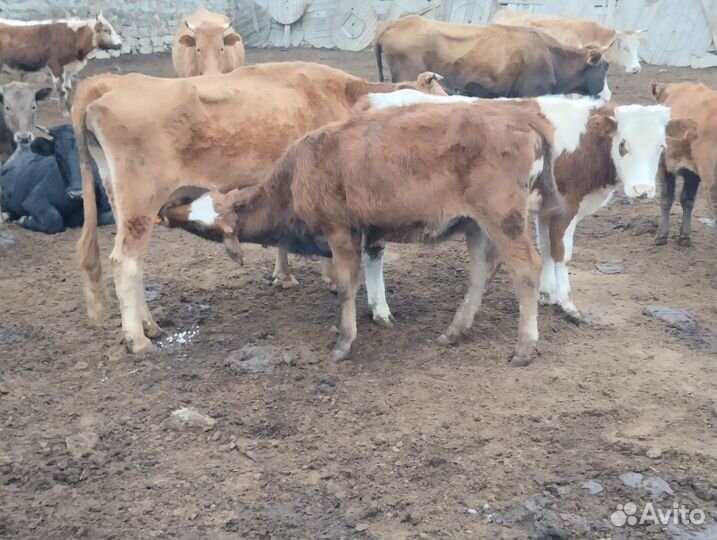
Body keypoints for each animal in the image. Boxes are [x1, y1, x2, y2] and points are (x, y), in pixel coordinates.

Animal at [71, 61, 447, 353]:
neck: (346, 96)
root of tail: (110, 83)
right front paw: (330, 277)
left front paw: (285, 276)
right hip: (140, 200)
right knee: (125, 263)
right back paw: (137, 339)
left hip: (123, 202)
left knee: (134, 266)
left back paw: (150, 325)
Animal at [159, 96, 602, 366]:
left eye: (201, 226)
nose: (164, 211)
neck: (298, 172)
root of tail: (523, 119)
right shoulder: (366, 235)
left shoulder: (339, 232)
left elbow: (345, 285)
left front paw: (343, 342)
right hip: (476, 225)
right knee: (481, 271)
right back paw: (454, 332)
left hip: (503, 219)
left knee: (526, 269)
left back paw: (524, 347)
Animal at [652, 82, 717, 248]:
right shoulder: (692, 173)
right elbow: (687, 200)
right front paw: (684, 236)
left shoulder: (663, 163)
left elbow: (666, 198)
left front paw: (661, 235)